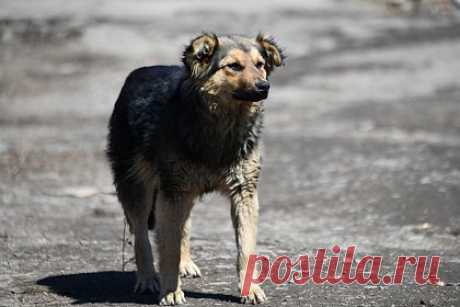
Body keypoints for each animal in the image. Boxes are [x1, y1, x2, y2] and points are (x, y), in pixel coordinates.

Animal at [108, 33, 286, 306]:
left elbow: (246, 247)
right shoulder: (173, 192)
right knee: (141, 235)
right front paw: (170, 291)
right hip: (138, 186)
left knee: (182, 226)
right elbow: (167, 248)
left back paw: (185, 263)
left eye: (260, 65)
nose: (263, 87)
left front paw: (250, 289)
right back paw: (148, 277)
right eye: (234, 66)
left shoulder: (244, 192)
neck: (221, 126)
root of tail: (139, 73)